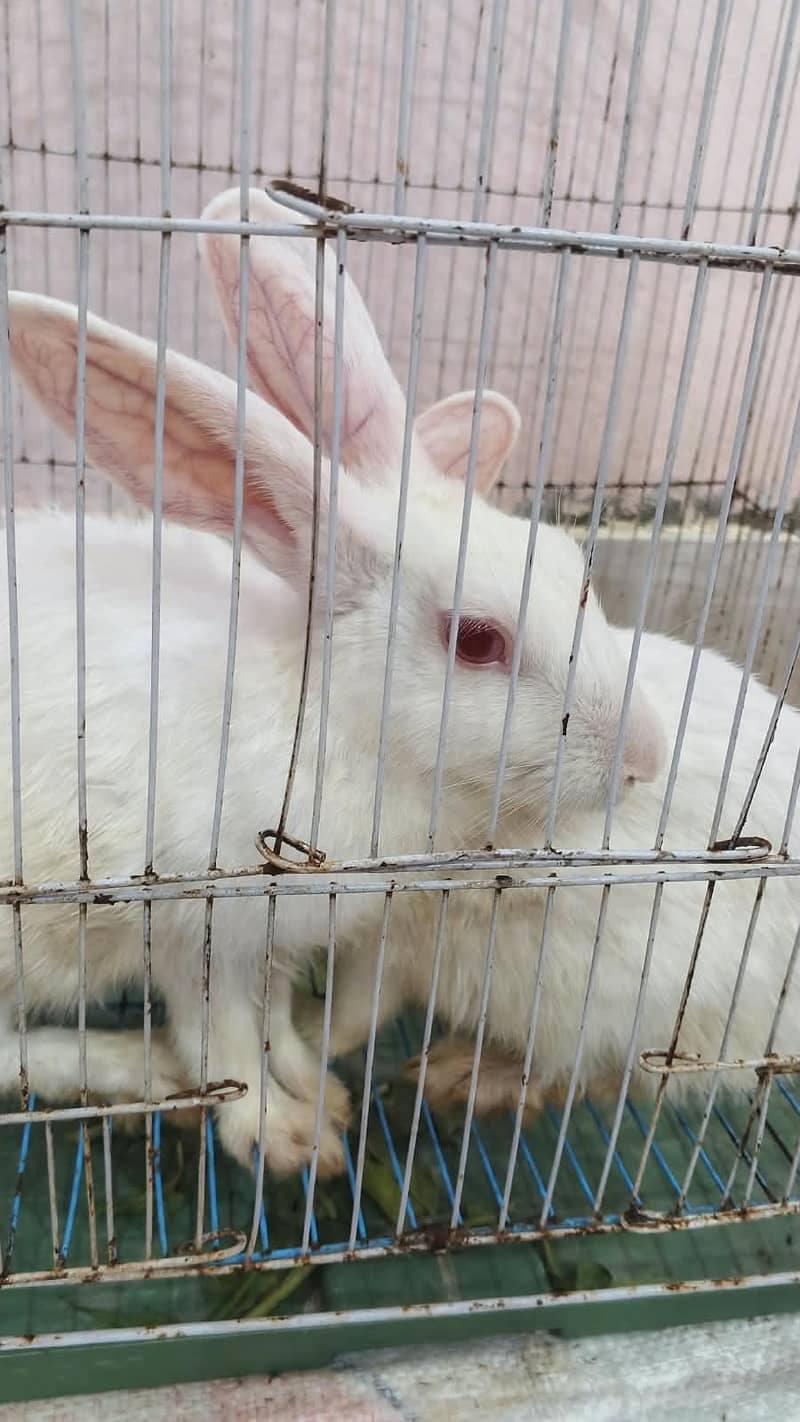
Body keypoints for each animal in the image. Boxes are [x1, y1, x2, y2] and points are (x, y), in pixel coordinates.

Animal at [0, 189, 522, 1176]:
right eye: (477, 640)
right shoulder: (190, 917)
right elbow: (224, 1034)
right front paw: (285, 1138)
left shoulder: (279, 935)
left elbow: (274, 1020)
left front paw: (318, 1087)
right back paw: (128, 1069)